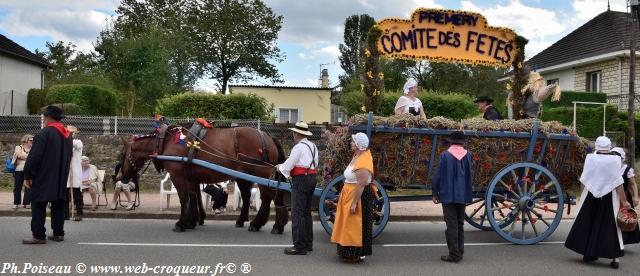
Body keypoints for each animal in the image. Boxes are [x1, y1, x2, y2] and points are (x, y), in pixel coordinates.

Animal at [117, 124, 290, 234]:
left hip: (261, 173)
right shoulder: (191, 178)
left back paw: (260, 224)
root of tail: (267, 136)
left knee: (267, 197)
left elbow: (184, 198)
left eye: (122, 155)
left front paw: (181, 223)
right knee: (251, 196)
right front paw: (193, 221)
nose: (121, 178)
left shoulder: (178, 176)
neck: (166, 141)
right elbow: (194, 197)